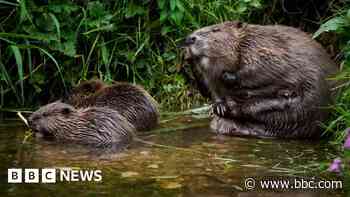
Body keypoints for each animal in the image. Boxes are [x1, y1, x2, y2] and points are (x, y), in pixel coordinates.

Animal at [183, 21, 340, 139]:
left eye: (215, 29)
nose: (190, 38)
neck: (245, 43)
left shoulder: (264, 47)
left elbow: (266, 65)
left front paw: (229, 77)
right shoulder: (211, 78)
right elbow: (215, 89)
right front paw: (219, 107)